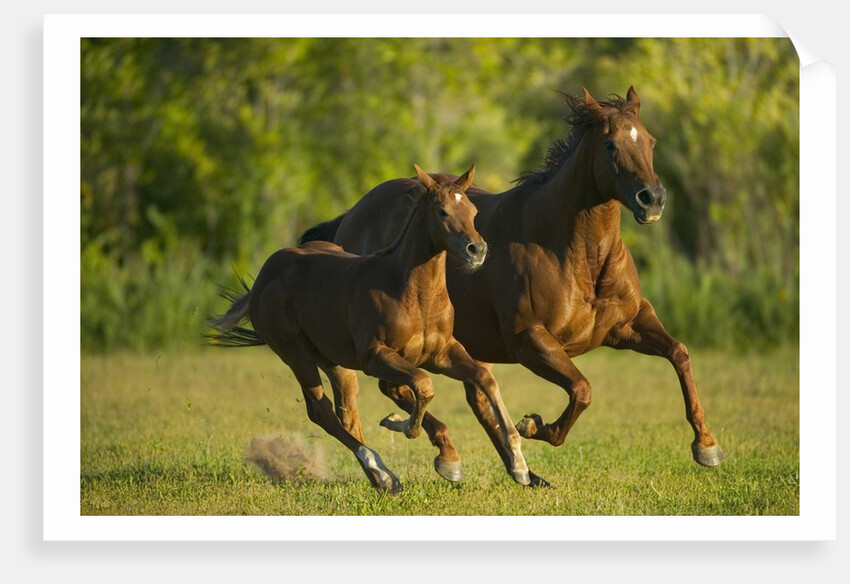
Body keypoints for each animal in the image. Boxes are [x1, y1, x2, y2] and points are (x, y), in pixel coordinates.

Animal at [208, 164, 536, 494]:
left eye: (472, 210)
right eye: (442, 211)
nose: (476, 250)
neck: (410, 293)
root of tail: (264, 277)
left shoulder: (441, 353)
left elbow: (484, 379)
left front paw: (518, 464)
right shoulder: (375, 356)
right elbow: (423, 385)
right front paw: (404, 428)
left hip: (334, 361)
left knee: (347, 416)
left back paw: (381, 478)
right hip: (296, 354)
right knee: (321, 411)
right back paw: (381, 469)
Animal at [298, 86, 725, 481]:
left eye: (650, 141)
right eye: (610, 144)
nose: (652, 199)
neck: (574, 255)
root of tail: (351, 215)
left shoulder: (628, 325)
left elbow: (679, 353)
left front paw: (706, 446)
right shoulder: (530, 340)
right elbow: (582, 390)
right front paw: (535, 425)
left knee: (468, 394)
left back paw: (519, 472)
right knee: (397, 390)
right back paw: (452, 456)